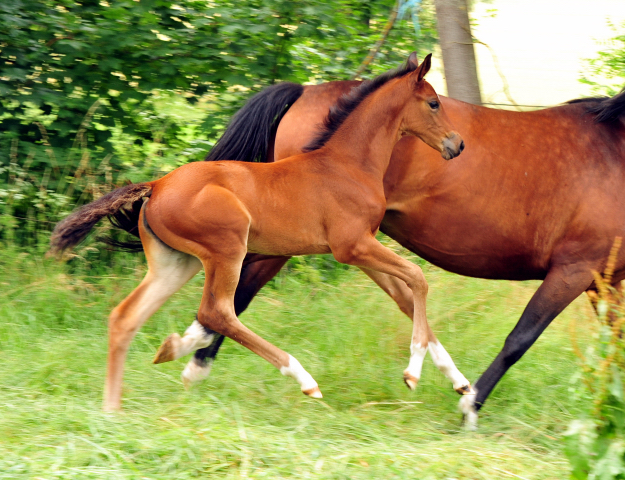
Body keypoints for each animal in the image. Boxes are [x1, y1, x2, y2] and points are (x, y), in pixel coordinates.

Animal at [50, 53, 468, 412]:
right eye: (433, 103)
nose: (457, 144)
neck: (347, 164)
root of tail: (156, 185)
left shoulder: (362, 249)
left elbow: (407, 294)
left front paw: (459, 381)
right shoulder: (352, 246)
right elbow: (417, 279)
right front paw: (413, 374)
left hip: (175, 263)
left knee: (126, 317)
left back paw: (113, 409)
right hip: (226, 250)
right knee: (216, 312)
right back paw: (303, 378)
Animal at [166, 64, 624, 428]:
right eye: (433, 104)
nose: (456, 145)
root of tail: (305, 91)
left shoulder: (608, 282)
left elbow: (614, 345)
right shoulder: (575, 269)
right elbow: (521, 338)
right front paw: (471, 409)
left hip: (346, 239)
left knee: (401, 296)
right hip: (293, 236)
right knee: (240, 289)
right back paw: (196, 361)